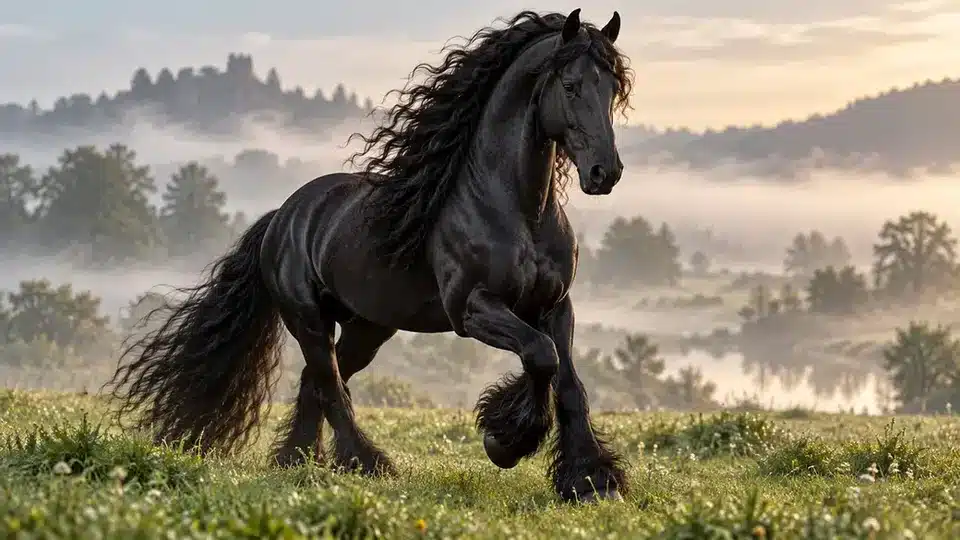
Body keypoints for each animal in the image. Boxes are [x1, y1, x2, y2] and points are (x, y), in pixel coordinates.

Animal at [105, 8, 634, 503]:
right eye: (570, 86)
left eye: (613, 89)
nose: (604, 173)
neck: (516, 209)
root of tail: (282, 216)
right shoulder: (472, 308)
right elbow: (540, 357)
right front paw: (504, 441)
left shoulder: (555, 306)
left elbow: (566, 381)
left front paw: (591, 480)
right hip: (308, 318)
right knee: (328, 382)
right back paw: (364, 463)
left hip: (368, 328)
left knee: (317, 380)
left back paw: (297, 460)